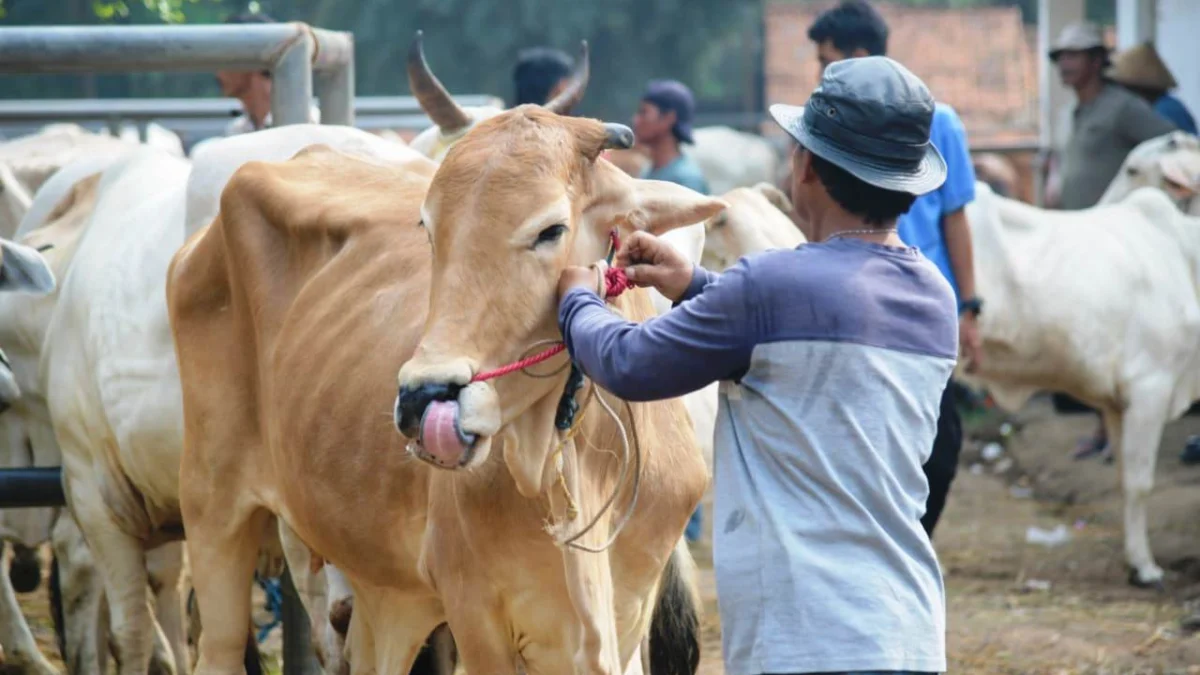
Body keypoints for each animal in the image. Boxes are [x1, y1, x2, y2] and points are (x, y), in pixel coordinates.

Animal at [169, 105, 720, 672]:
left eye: (551, 229)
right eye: (430, 230)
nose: (423, 397)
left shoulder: (628, 611)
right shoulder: (474, 613)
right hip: (212, 509)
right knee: (219, 643)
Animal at [960, 181, 1200, 586]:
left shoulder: (1118, 404)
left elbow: (1124, 479)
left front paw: (1132, 560)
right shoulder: (1151, 386)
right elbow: (1141, 483)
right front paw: (1146, 568)